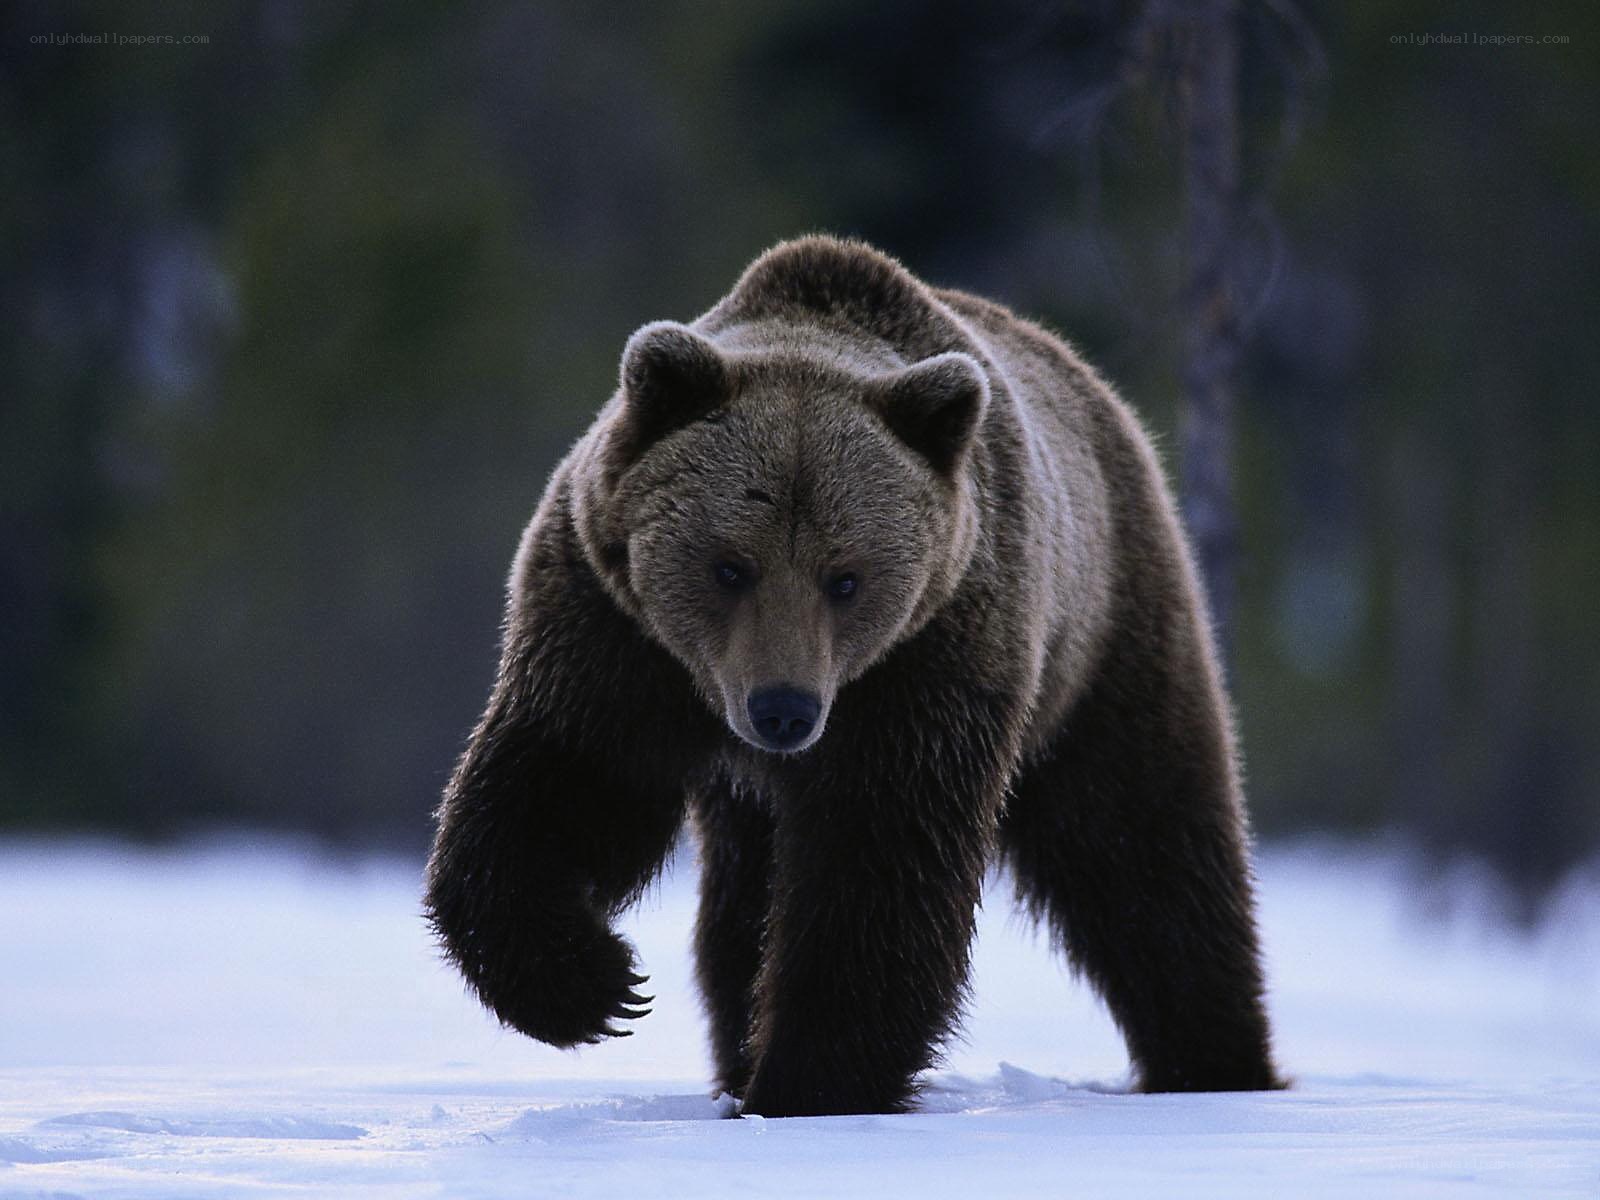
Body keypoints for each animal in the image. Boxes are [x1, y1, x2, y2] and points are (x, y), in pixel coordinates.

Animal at [423, 235, 1282, 1117]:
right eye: (730, 565)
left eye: (846, 578)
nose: (784, 710)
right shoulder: (613, 631)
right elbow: (566, 782)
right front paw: (592, 986)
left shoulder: (931, 659)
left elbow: (878, 862)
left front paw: (808, 1083)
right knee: (740, 907)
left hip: (1105, 637)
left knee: (1144, 848)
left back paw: (1214, 1062)